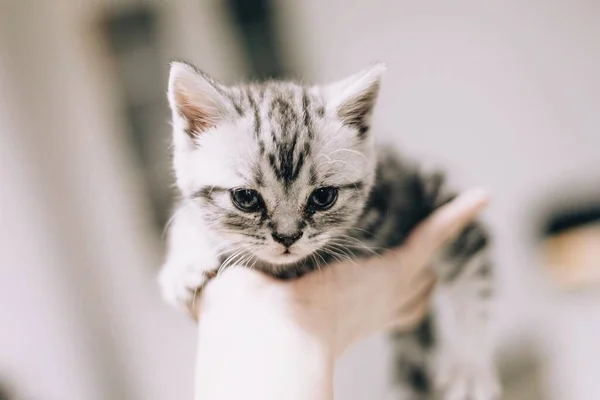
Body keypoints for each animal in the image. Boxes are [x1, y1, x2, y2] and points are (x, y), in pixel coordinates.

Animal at [159, 60, 502, 400]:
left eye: (324, 197)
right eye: (245, 198)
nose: (287, 237)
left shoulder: (433, 191)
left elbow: (473, 282)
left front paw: (470, 368)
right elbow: (185, 217)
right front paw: (183, 265)